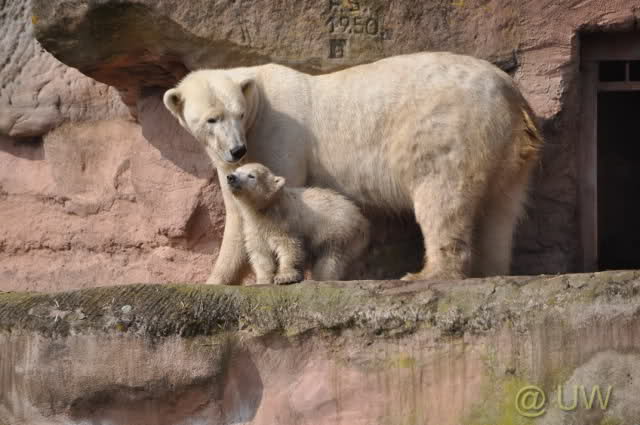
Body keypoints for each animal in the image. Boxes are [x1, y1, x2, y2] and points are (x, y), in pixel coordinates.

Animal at [226, 162, 370, 284]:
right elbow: (260, 252)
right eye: (237, 171)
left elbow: (290, 247)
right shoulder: (254, 226)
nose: (231, 177)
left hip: (340, 229)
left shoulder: (284, 222)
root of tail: (361, 218)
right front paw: (263, 280)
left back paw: (323, 279)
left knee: (331, 258)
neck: (267, 209)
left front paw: (285, 277)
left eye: (251, 176)